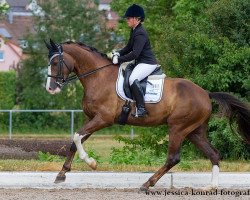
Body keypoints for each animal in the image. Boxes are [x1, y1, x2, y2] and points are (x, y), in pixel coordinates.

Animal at [45, 38, 250, 191]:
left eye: (55, 62)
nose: (50, 88)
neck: (98, 77)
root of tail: (205, 94)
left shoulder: (103, 119)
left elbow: (77, 136)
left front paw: (92, 163)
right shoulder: (92, 118)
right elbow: (75, 141)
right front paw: (62, 174)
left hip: (178, 128)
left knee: (173, 158)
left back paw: (147, 184)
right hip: (194, 131)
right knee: (214, 154)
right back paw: (212, 187)